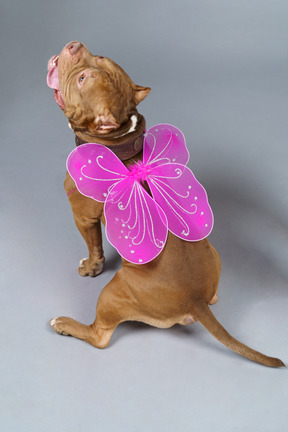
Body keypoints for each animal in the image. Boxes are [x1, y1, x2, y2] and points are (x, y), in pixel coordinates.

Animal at [46, 40, 284, 366]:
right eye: (99, 55)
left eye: (82, 79)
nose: (74, 45)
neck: (119, 139)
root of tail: (196, 300)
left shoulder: (83, 218)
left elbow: (94, 246)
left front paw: (91, 267)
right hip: (215, 254)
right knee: (215, 296)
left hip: (113, 292)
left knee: (100, 337)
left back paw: (66, 324)